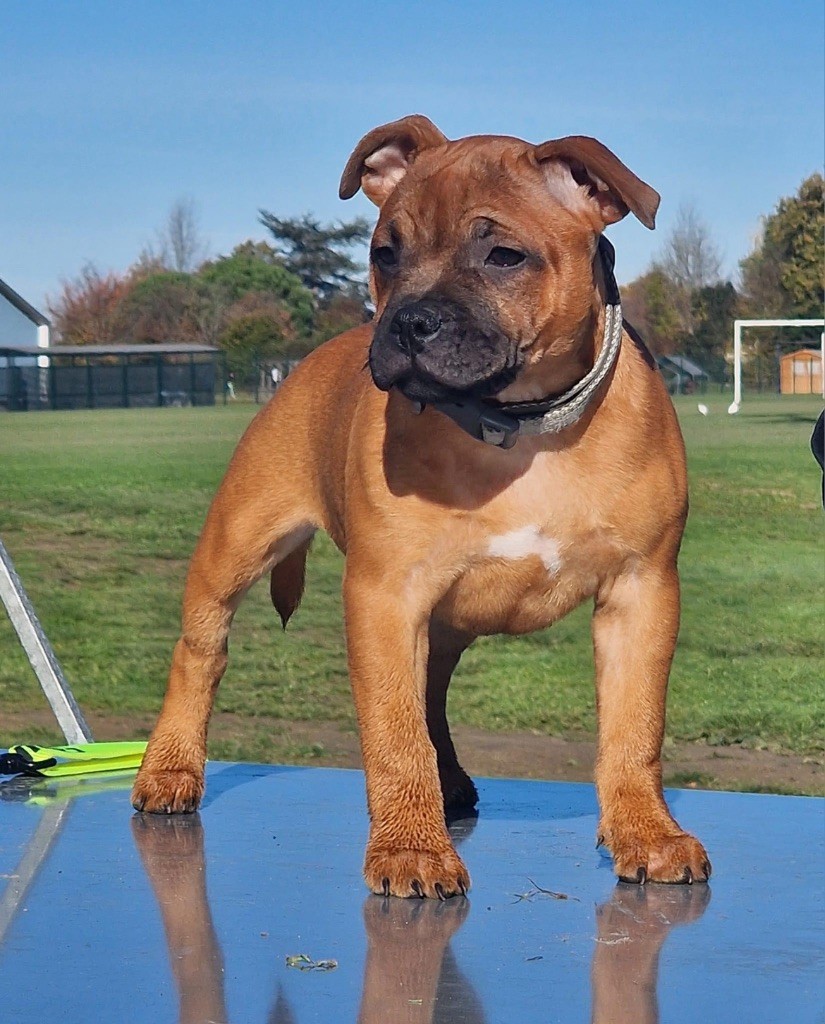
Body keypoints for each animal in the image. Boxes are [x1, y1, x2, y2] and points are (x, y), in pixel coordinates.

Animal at [132, 114, 712, 897]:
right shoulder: (385, 597)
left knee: (431, 693)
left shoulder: (641, 591)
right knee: (201, 652)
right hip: (234, 546)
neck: (520, 428)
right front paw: (410, 847)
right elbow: (392, 731)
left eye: (503, 256)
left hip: (445, 621)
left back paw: (453, 782)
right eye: (385, 254)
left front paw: (645, 831)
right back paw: (169, 769)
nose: (408, 323)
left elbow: (634, 725)